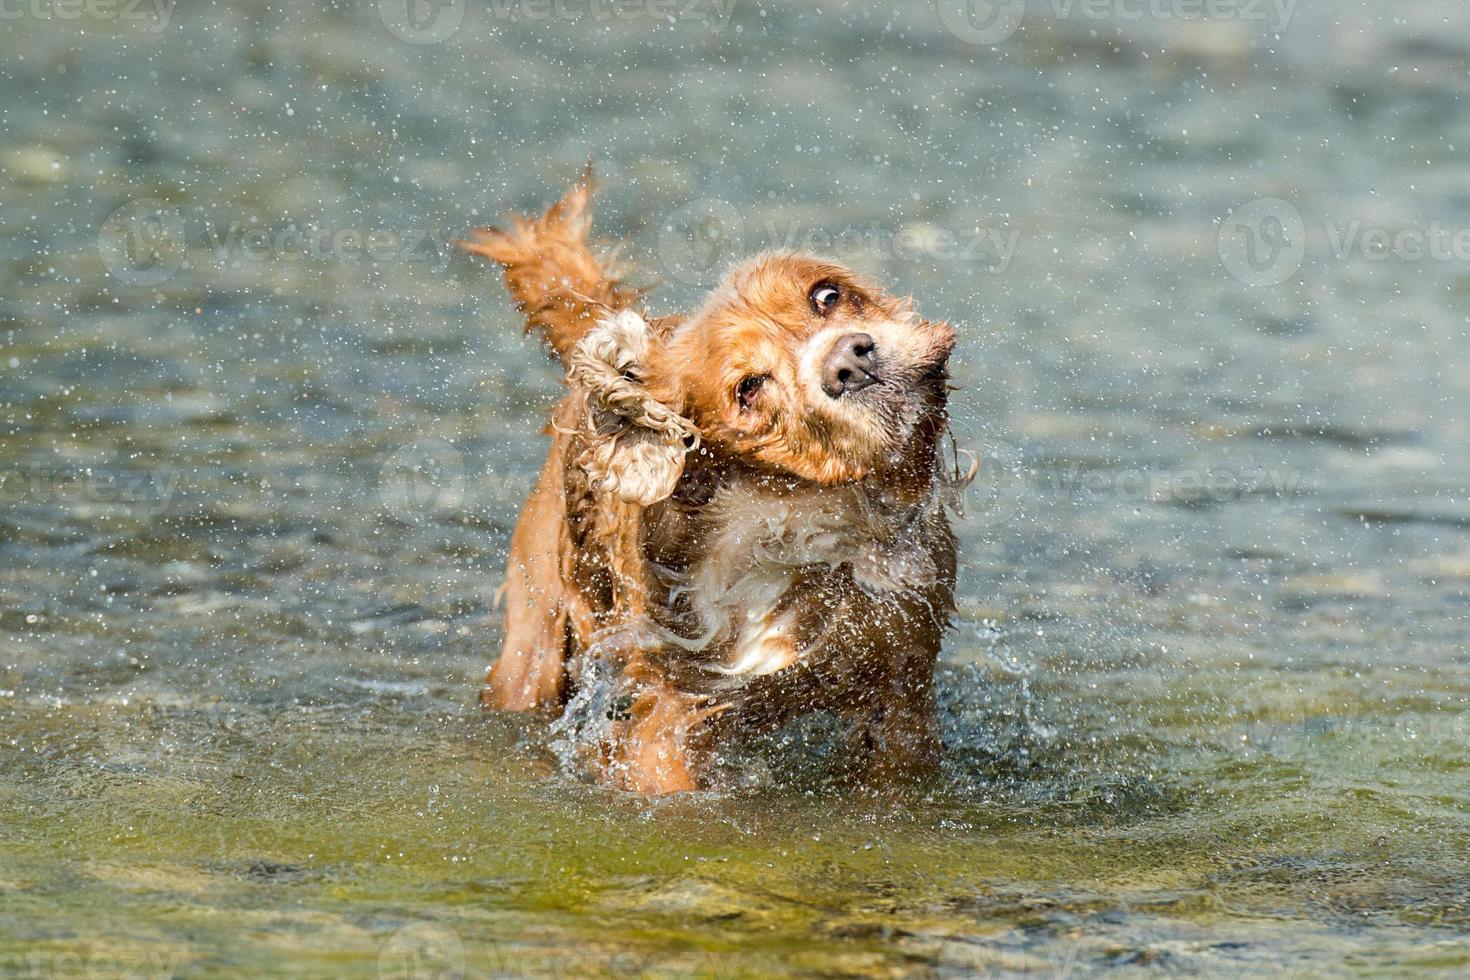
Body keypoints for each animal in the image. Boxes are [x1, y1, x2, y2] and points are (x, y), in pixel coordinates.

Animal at [458, 170, 970, 799]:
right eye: (749, 388)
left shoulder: (902, 683)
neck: (801, 520)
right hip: (533, 646)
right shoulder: (669, 715)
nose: (849, 362)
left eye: (826, 295)